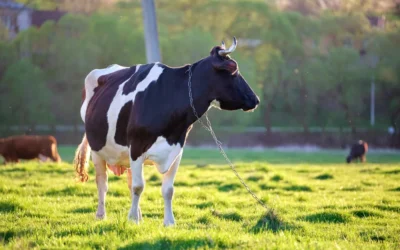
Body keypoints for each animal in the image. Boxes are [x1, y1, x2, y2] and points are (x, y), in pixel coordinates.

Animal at [72, 37, 260, 227]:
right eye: (233, 69)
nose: (255, 99)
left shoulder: (176, 150)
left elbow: (167, 189)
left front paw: (169, 222)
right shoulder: (136, 148)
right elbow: (138, 187)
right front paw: (132, 219)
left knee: (129, 182)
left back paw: (138, 214)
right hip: (97, 149)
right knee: (102, 183)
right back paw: (101, 214)